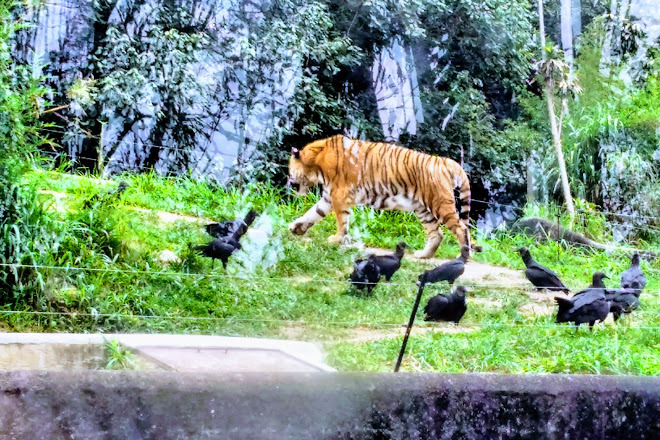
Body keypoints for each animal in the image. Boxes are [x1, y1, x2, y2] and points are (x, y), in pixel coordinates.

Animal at [288, 134, 474, 258]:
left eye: (290, 171)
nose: (289, 183)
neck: (315, 163)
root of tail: (444, 160)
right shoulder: (328, 197)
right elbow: (313, 213)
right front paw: (296, 227)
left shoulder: (338, 196)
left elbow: (341, 221)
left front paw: (336, 239)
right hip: (424, 210)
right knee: (437, 234)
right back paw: (423, 255)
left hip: (439, 204)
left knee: (461, 228)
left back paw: (462, 256)